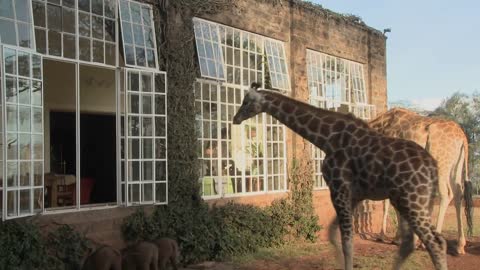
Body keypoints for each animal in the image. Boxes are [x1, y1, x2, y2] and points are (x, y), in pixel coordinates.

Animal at [232, 83, 446, 270]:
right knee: (413, 243)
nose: (235, 118)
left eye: (246, 101)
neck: (326, 139)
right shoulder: (354, 195)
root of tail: (433, 167)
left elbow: (347, 242)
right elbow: (332, 235)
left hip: (413, 201)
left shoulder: (339, 188)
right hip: (404, 201)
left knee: (436, 243)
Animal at [370, 106, 474, 254]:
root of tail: (462, 137)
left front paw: (392, 237)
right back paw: (460, 245)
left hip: (441, 163)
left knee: (446, 194)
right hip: (456, 165)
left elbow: (391, 203)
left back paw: (431, 243)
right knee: (458, 193)